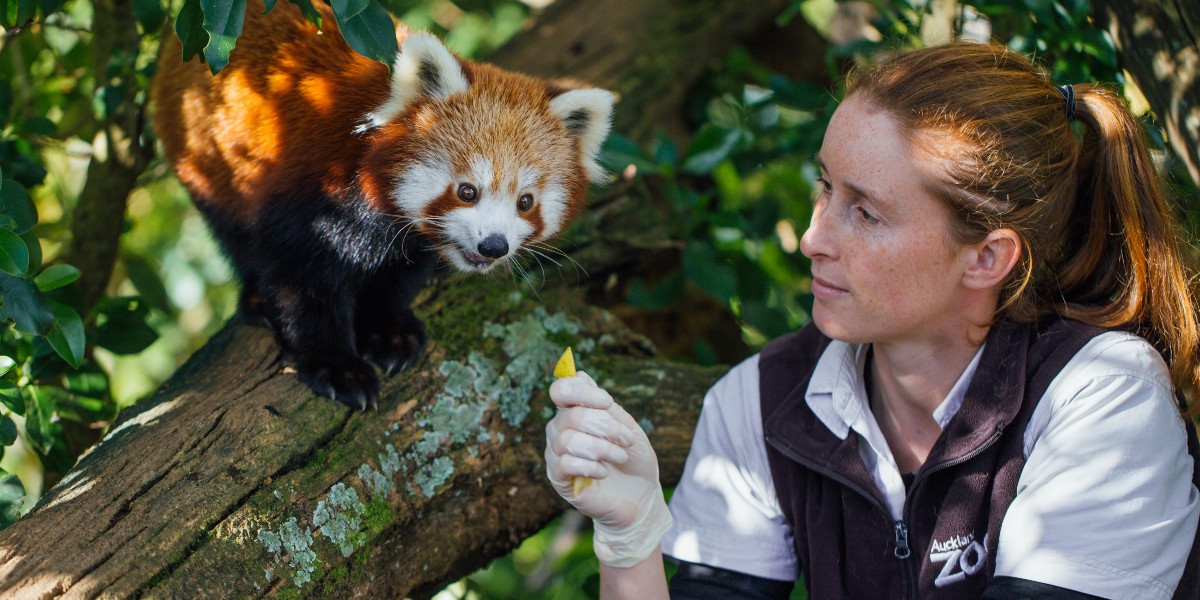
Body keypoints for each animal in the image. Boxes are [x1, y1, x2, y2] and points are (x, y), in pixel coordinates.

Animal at [151, 0, 614, 408]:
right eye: (467, 191)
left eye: (525, 201)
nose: (493, 246)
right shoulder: (310, 198)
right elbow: (301, 283)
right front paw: (336, 366)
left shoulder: (413, 239)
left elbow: (399, 277)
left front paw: (390, 332)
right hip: (206, 157)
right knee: (233, 232)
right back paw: (255, 299)